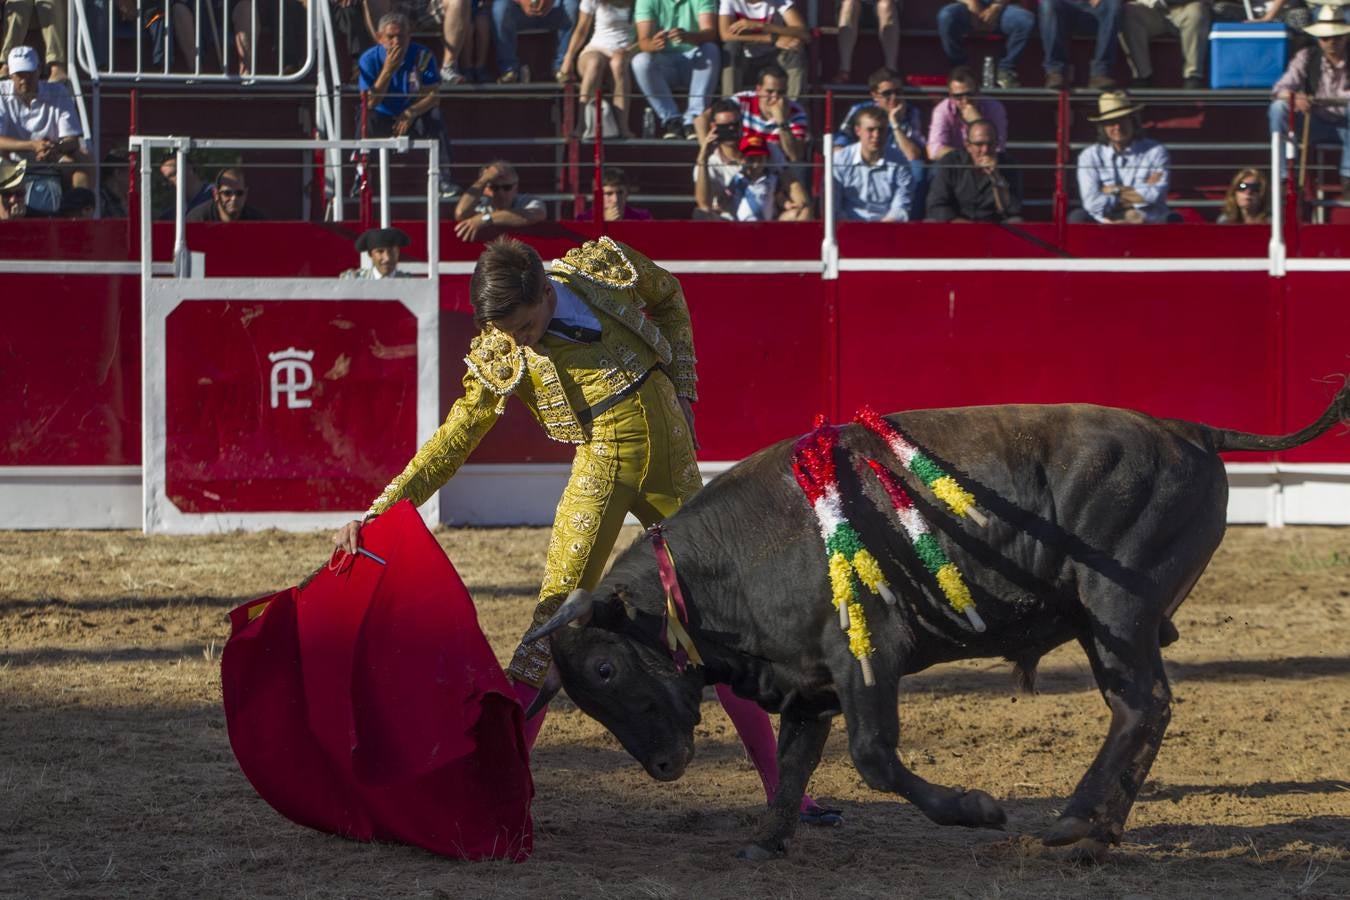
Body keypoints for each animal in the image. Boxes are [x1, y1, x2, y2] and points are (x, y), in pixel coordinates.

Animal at [523, 391, 1350, 863]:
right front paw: (765, 841)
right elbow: (795, 763)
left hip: (1119, 611)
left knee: (1142, 706)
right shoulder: (810, 682)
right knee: (1139, 709)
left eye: (604, 669)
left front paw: (977, 810)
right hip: (1107, 623)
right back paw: (1094, 834)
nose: (664, 766)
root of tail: (1187, 431)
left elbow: (873, 759)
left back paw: (1074, 825)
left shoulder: (867, 658)